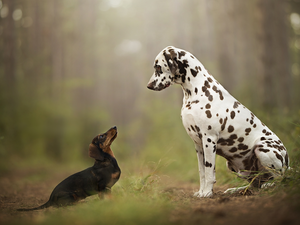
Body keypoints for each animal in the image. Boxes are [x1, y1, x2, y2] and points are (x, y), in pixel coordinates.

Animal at [146, 45, 290, 197]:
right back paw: (237, 190)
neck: (197, 90)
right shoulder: (198, 144)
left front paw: (207, 193)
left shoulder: (209, 139)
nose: (149, 85)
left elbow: (209, 171)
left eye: (158, 67)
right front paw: (201, 192)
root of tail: (288, 162)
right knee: (255, 184)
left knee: (279, 179)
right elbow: (202, 172)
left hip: (263, 148)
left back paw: (269, 185)